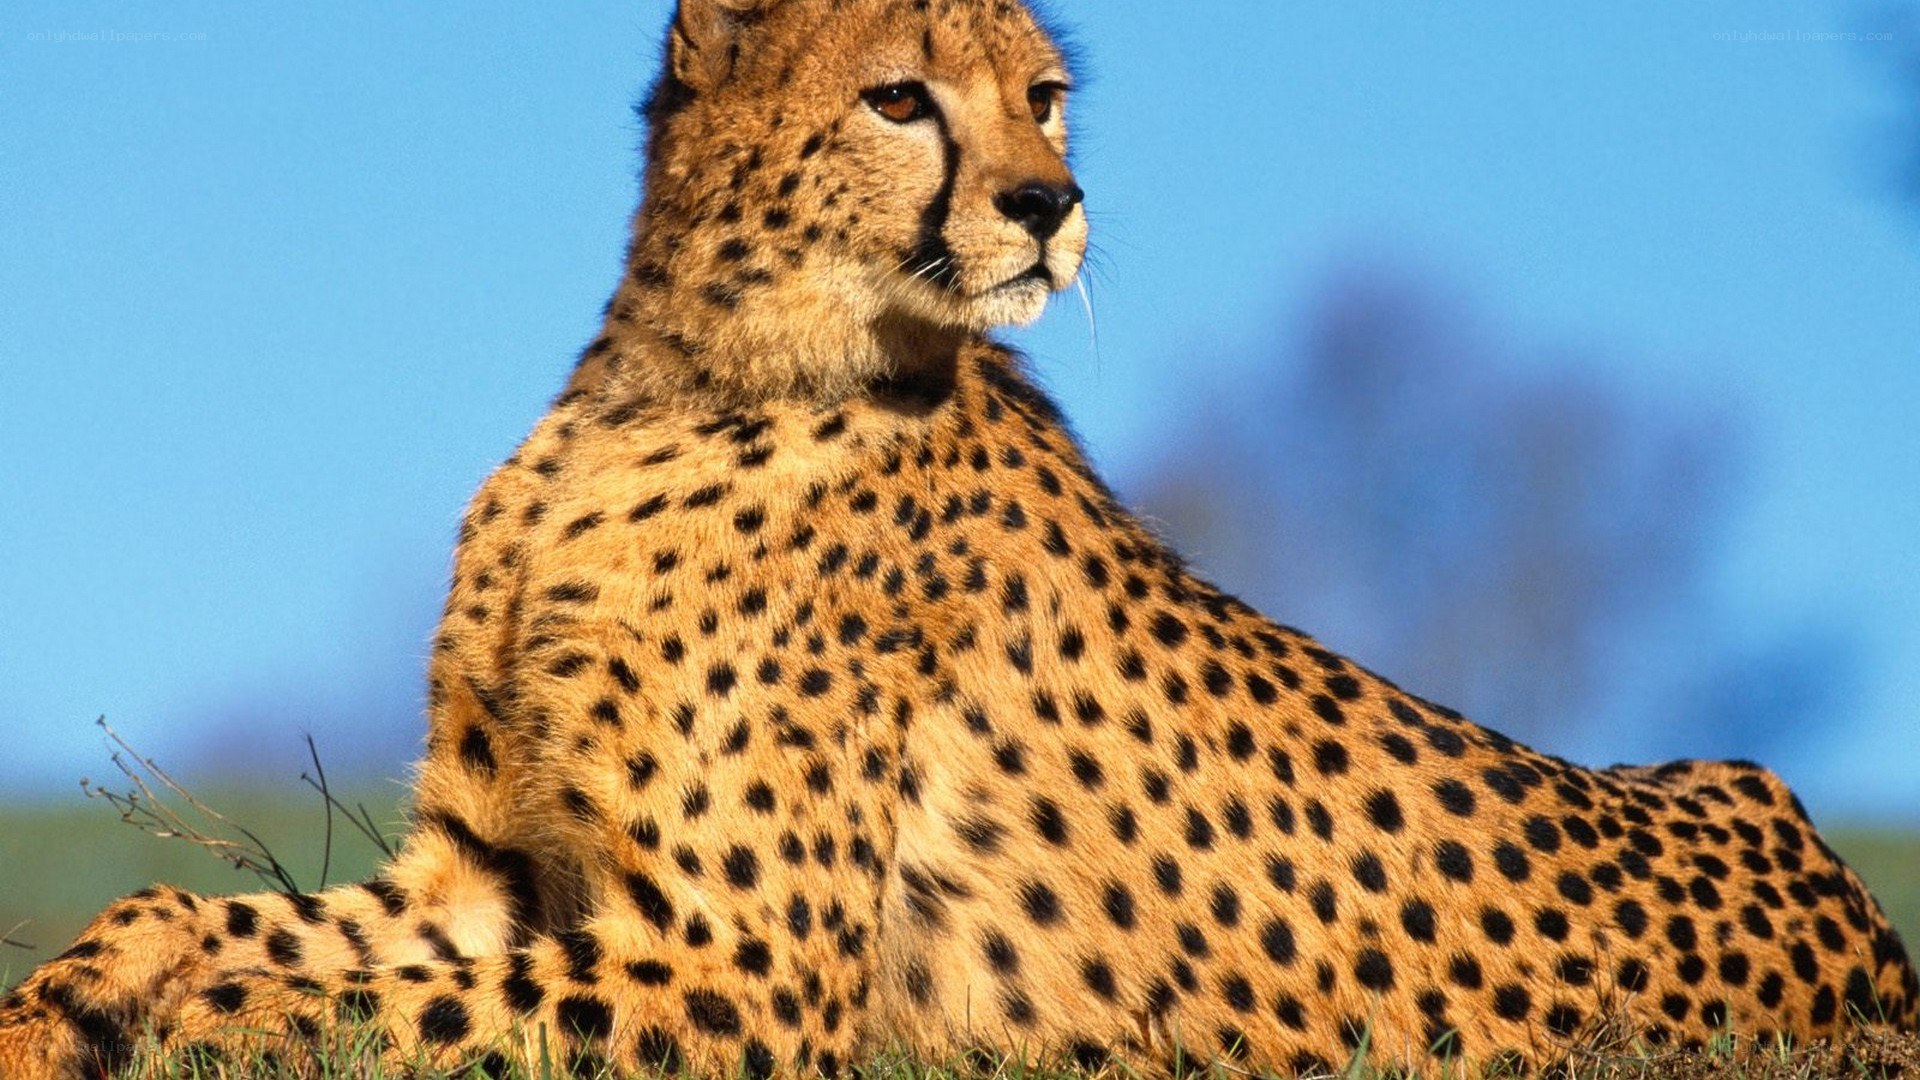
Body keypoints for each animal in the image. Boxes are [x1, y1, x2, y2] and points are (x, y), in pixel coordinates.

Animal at [2, 0, 1914, 1077]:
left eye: (1045, 98)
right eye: (903, 98)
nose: (1049, 205)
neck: (689, 375)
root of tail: (1867, 946)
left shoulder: (743, 973)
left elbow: (321, 1005)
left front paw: (151, 1020)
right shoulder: (489, 874)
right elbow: (208, 912)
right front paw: (64, 1002)